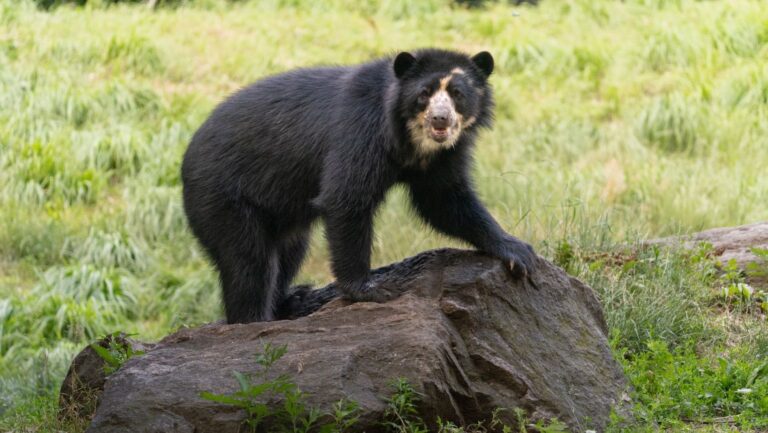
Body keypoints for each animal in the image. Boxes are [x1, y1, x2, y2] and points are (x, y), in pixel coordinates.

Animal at [181, 48, 537, 324]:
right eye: (424, 93)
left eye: (458, 94)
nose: (441, 120)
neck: (410, 140)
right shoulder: (359, 131)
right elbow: (346, 197)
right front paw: (371, 288)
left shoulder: (442, 156)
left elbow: (445, 200)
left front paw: (517, 252)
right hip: (224, 198)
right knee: (249, 261)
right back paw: (254, 319)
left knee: (288, 252)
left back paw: (293, 299)